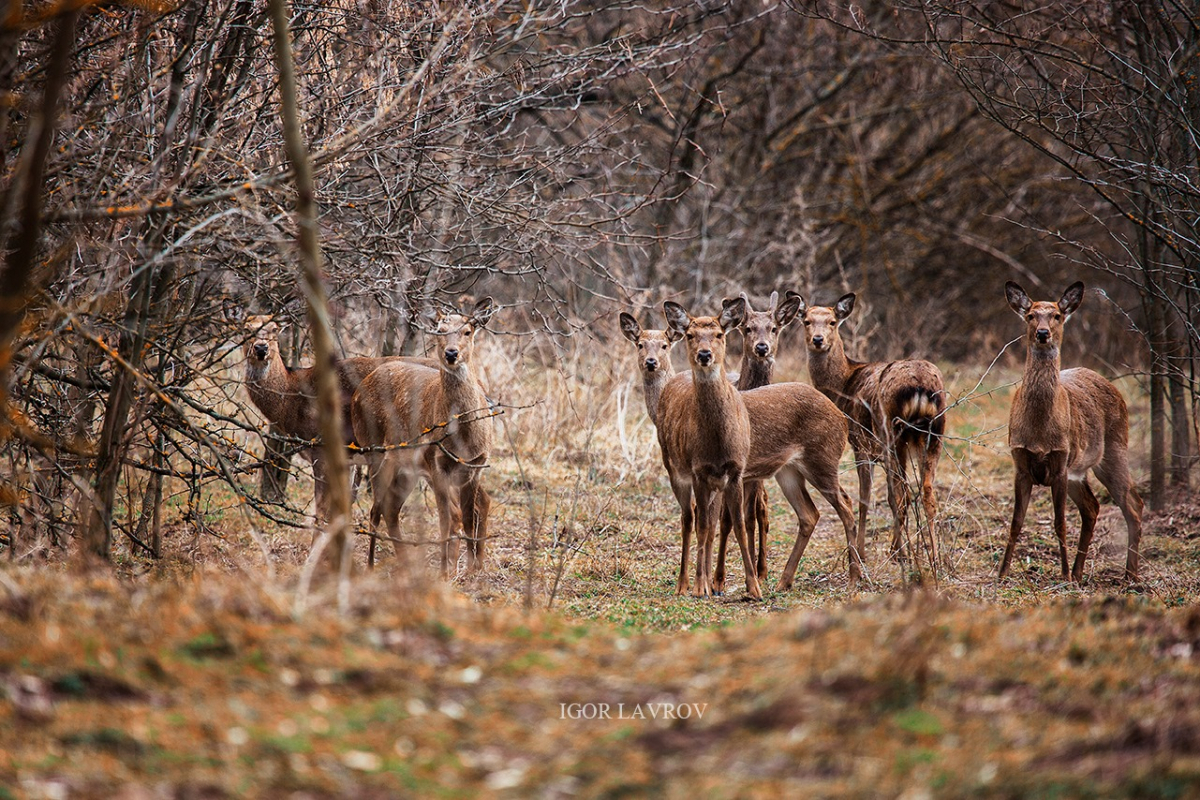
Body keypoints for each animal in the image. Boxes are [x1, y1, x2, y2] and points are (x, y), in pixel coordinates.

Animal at [350, 297, 499, 573]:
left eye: (467, 331)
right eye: (440, 331)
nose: (451, 353)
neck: (465, 439)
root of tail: (360, 388)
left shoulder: (475, 466)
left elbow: (467, 516)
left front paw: (471, 571)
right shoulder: (436, 463)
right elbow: (447, 520)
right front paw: (445, 572)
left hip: (407, 469)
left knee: (391, 509)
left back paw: (406, 563)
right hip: (375, 450)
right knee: (376, 510)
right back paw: (372, 565)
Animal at [792, 291, 950, 573]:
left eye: (832, 322)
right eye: (807, 321)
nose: (818, 340)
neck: (843, 384)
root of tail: (921, 387)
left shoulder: (859, 444)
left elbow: (866, 497)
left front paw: (864, 553)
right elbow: (888, 496)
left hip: (892, 432)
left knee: (903, 493)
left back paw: (905, 554)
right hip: (934, 433)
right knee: (926, 491)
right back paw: (933, 559)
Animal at [998, 281, 1147, 582]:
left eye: (1056, 315)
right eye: (1030, 315)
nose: (1043, 333)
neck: (1039, 431)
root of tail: (1111, 385)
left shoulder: (1060, 463)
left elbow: (1060, 523)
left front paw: (1063, 575)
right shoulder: (1020, 462)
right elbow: (1016, 522)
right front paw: (1001, 573)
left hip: (1114, 450)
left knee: (1134, 505)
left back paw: (1130, 576)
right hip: (1080, 470)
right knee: (1093, 507)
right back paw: (1081, 573)